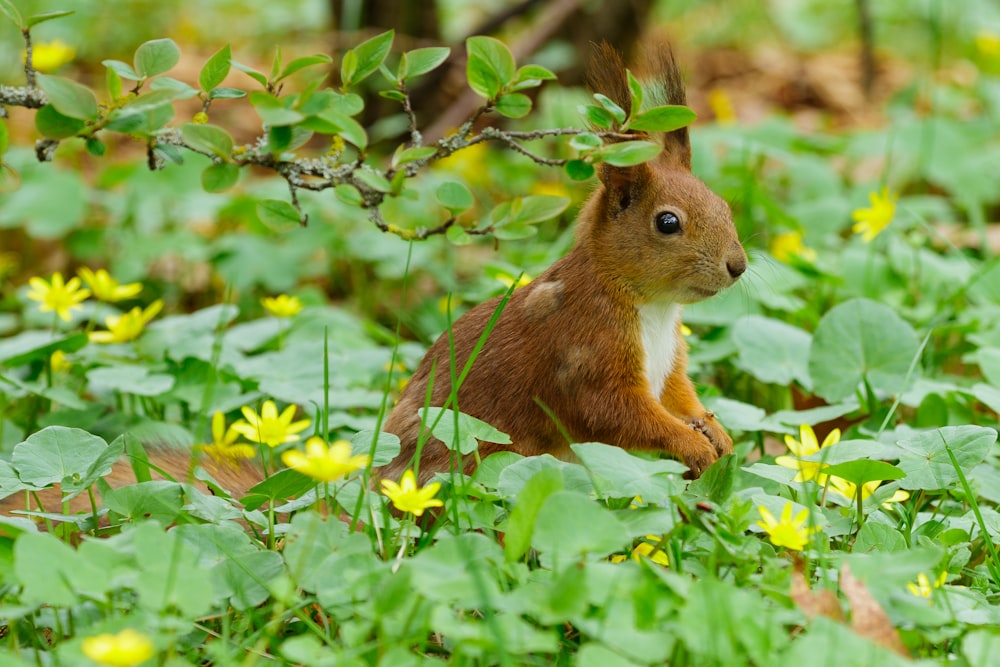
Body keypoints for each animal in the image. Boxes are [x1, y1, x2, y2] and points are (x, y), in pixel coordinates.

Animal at [378, 47, 748, 482]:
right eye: (668, 222)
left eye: (723, 206)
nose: (738, 265)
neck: (653, 307)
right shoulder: (583, 351)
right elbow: (612, 412)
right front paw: (692, 445)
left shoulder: (670, 365)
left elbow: (680, 398)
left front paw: (714, 431)